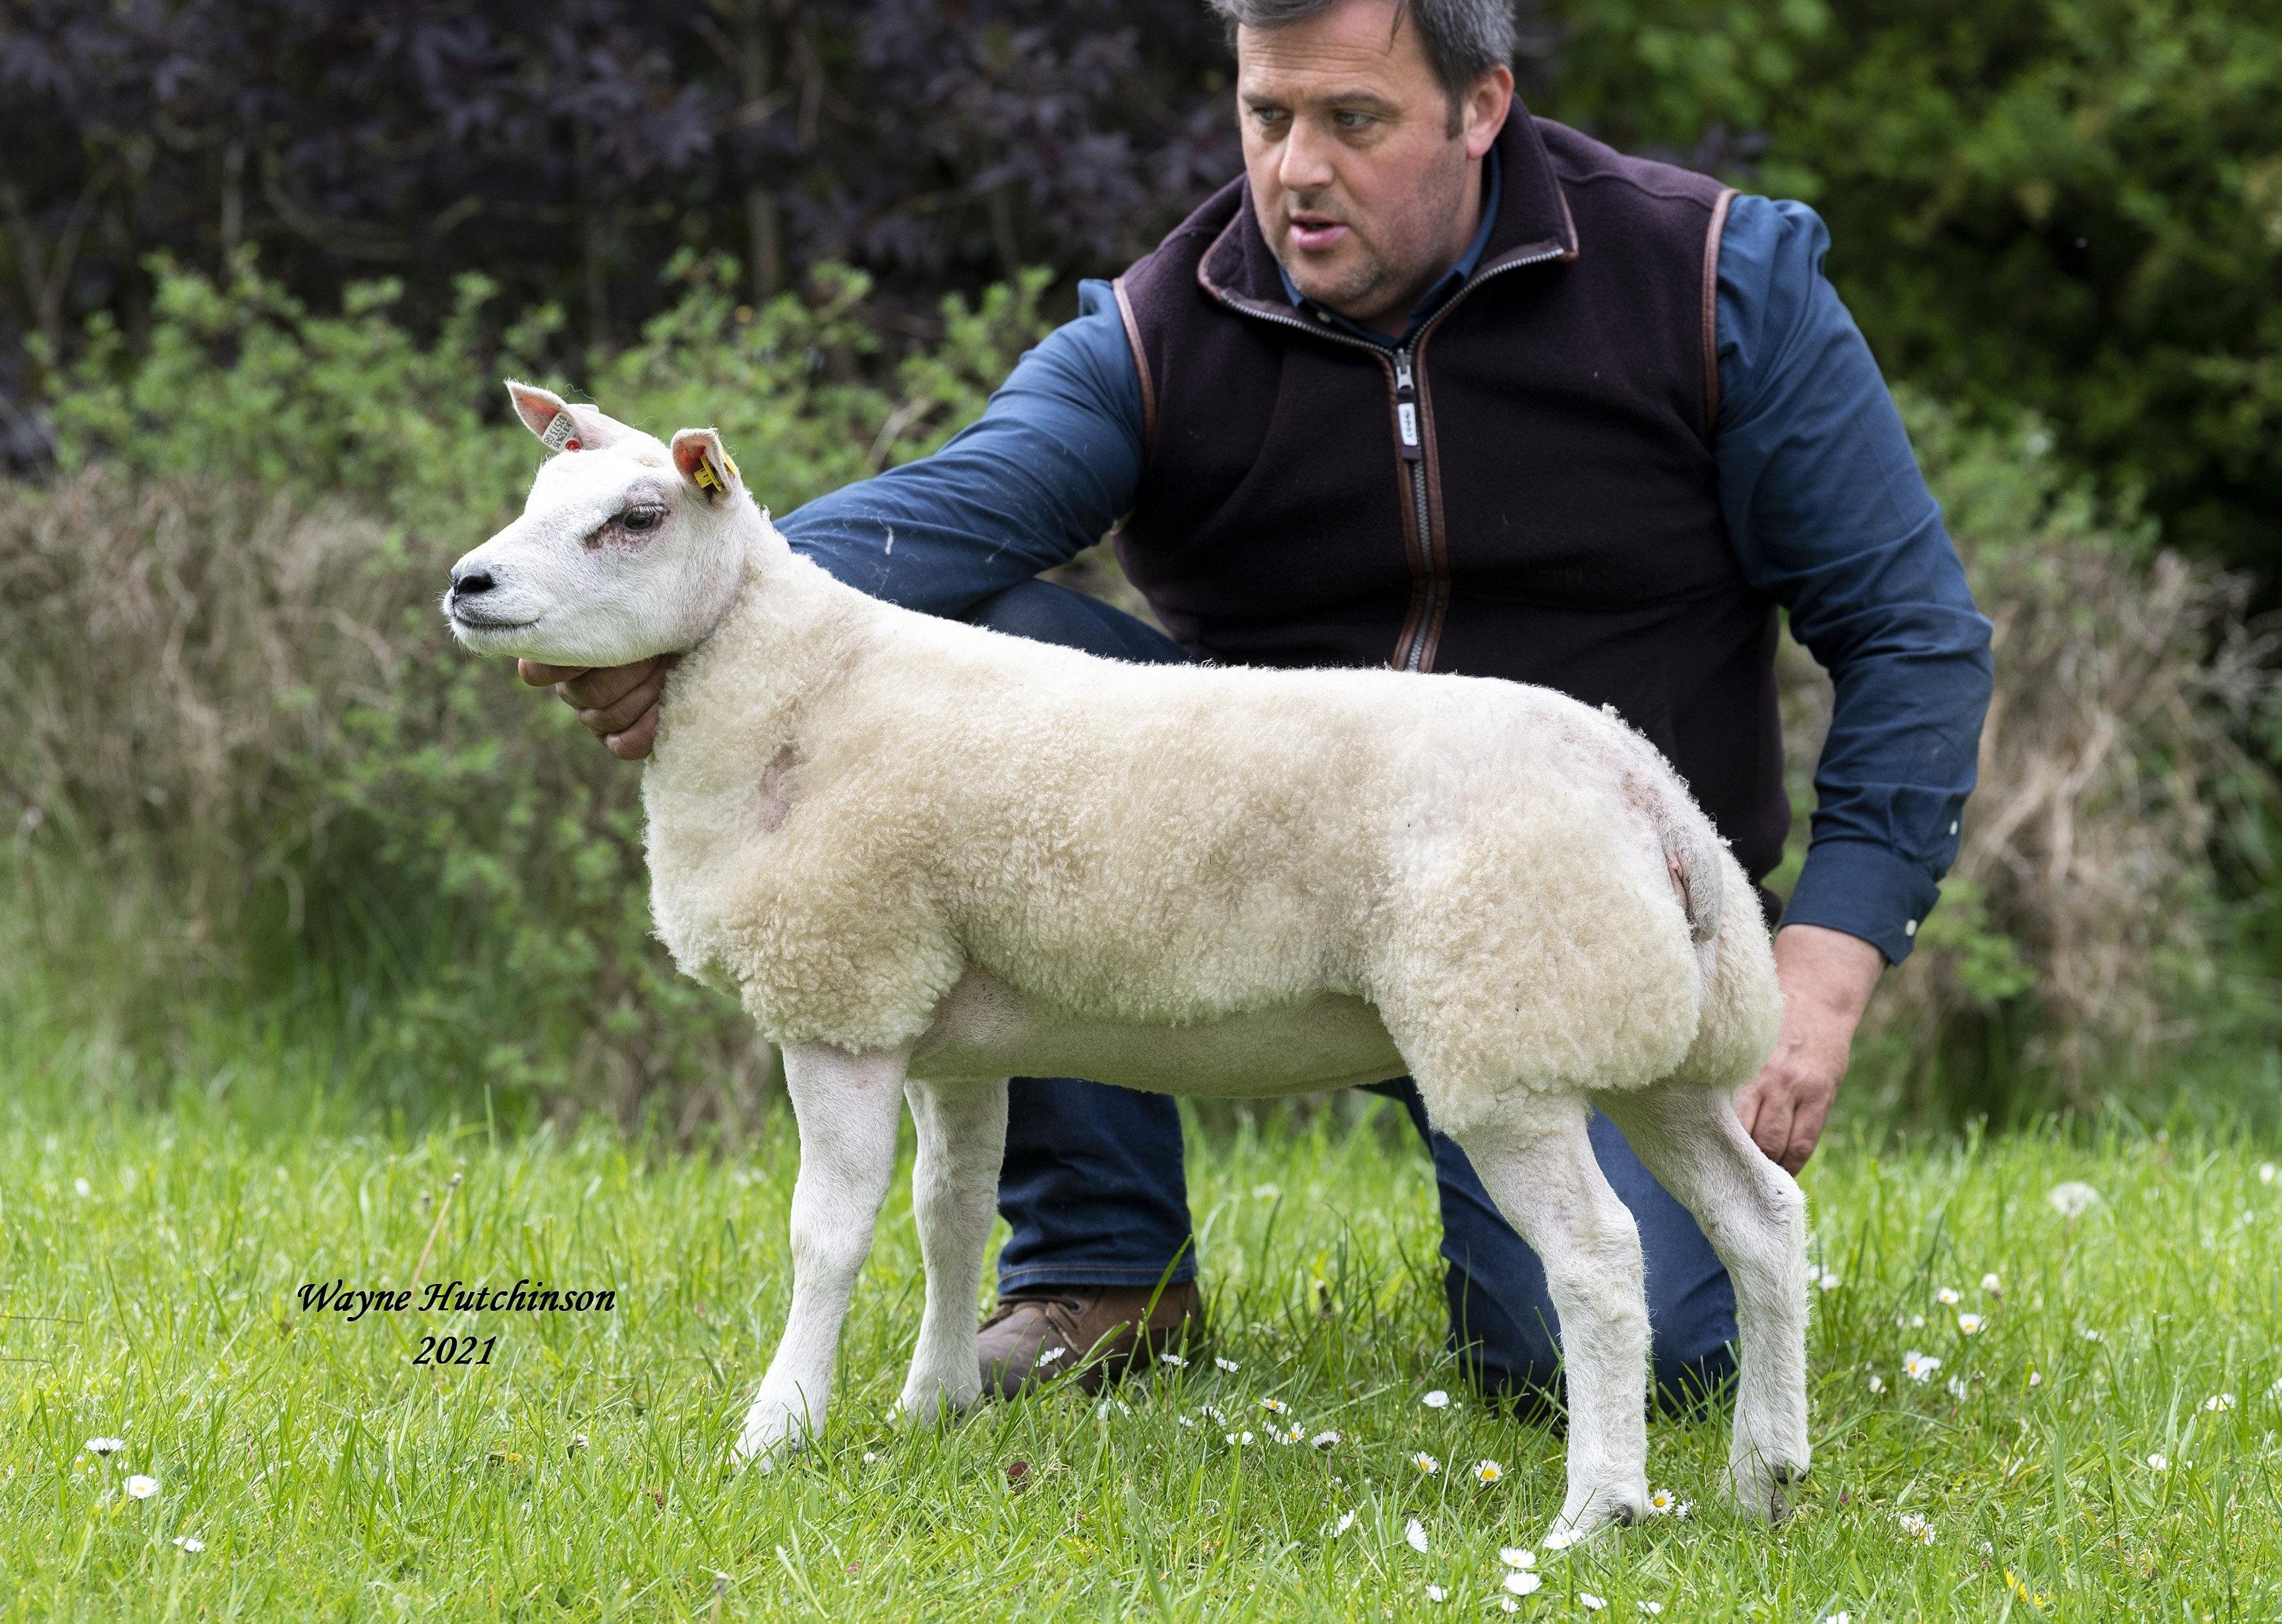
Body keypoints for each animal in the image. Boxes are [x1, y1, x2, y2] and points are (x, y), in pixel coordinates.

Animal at [444, 382, 1807, 1547]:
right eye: (537, 490)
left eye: (636, 517)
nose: (469, 580)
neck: (790, 696)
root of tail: (1650, 794)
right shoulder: (939, 1024)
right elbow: (950, 1213)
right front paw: (932, 1403)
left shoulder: (844, 989)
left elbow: (824, 1233)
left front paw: (777, 1429)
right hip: (1649, 1037)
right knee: (1761, 1217)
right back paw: (1763, 1475)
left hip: (1509, 1025)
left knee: (1599, 1259)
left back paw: (1595, 1511)